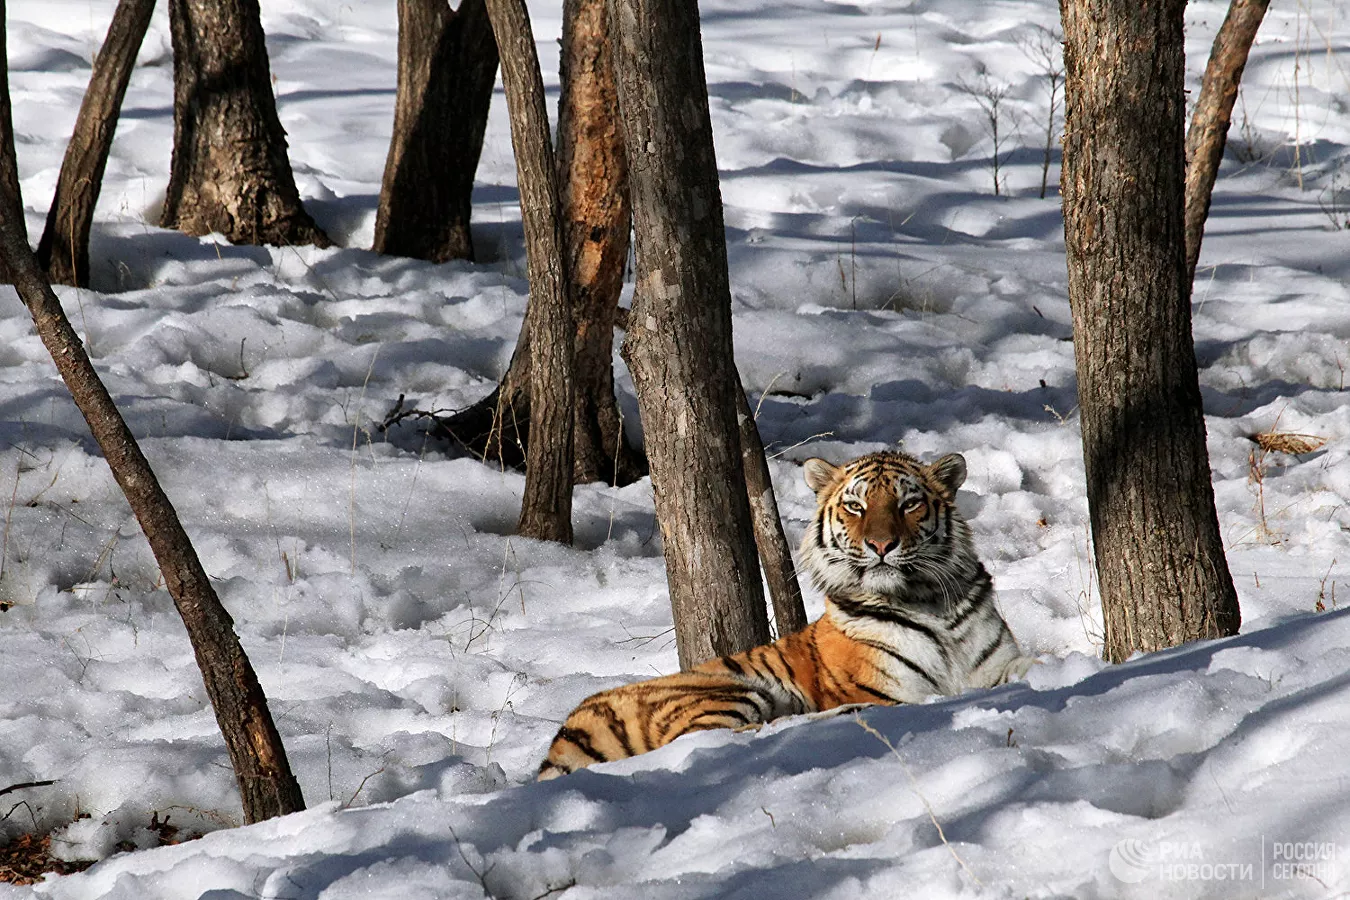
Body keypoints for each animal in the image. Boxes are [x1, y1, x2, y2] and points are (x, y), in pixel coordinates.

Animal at [537, 450, 1031, 782]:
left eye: (909, 504)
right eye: (856, 506)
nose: (881, 545)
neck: (927, 600)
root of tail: (567, 729)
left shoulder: (997, 662)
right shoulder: (888, 688)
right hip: (726, 692)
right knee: (732, 735)